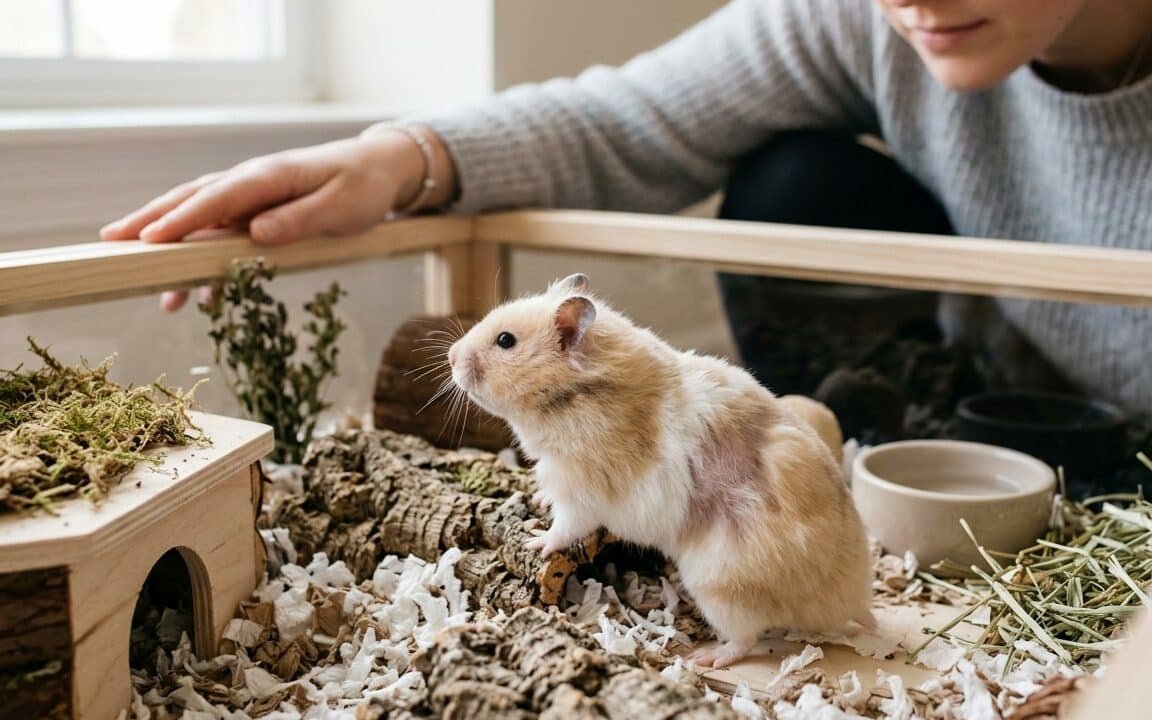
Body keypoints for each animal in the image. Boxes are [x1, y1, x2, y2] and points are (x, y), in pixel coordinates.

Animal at [448, 273, 875, 668]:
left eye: (505, 341)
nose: (450, 356)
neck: (572, 397)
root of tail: (847, 601)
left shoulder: (580, 489)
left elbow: (565, 528)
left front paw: (535, 542)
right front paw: (537, 501)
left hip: (721, 587)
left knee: (746, 638)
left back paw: (706, 658)